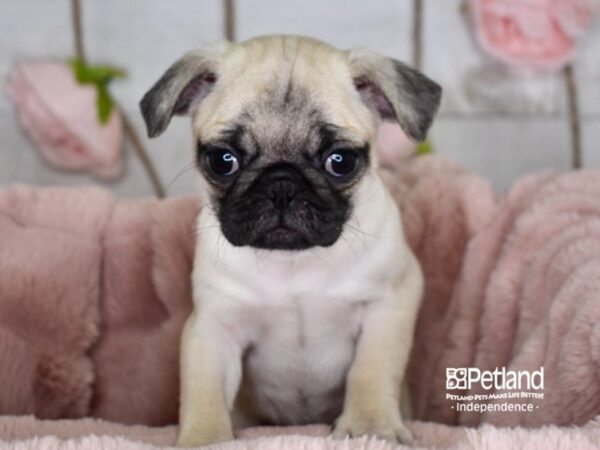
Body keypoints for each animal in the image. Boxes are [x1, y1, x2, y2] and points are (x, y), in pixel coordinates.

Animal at [141, 35, 440, 446]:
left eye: (340, 161)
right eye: (222, 160)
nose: (281, 184)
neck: (294, 262)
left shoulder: (388, 304)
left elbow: (372, 370)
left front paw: (370, 427)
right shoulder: (214, 326)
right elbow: (204, 390)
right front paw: (204, 439)